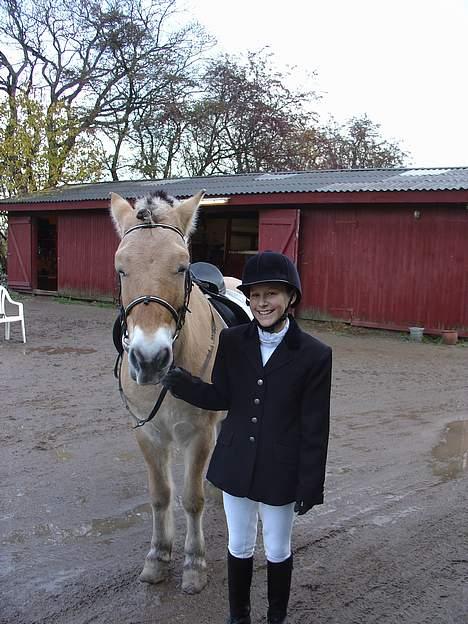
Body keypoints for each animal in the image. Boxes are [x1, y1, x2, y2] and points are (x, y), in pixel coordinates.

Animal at [110, 189, 238, 596]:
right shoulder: (149, 435)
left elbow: (191, 499)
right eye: (121, 268)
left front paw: (194, 564)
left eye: (182, 267)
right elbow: (161, 495)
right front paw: (158, 557)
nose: (150, 359)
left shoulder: (198, 435)